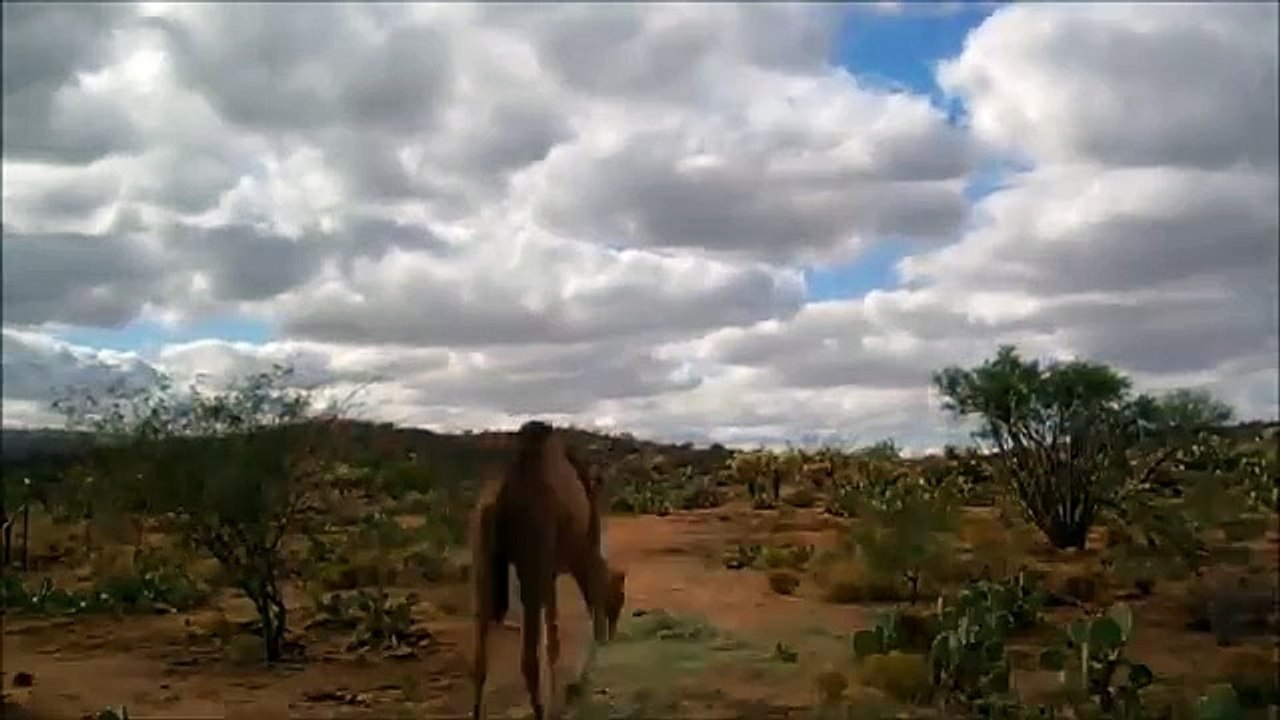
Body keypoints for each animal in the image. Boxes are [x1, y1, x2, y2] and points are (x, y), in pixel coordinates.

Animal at [470, 420, 624, 720]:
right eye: (619, 600)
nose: (611, 635)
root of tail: (503, 491)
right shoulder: (557, 562)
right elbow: (553, 640)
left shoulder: (549, 569)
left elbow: (552, 636)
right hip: (532, 555)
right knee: (528, 658)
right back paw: (542, 711)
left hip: (483, 555)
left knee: (479, 657)